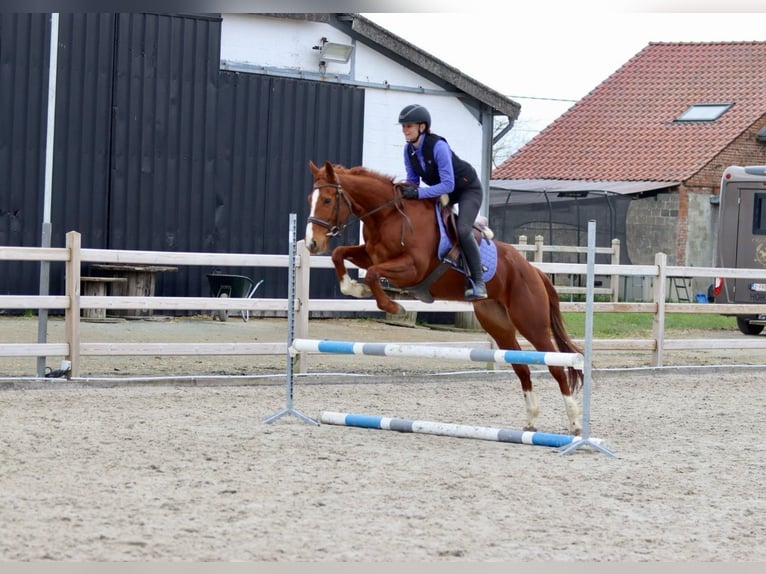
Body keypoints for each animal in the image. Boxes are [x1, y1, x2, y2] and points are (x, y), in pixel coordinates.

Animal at [304, 160, 584, 434]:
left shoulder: (411, 268)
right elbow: (340, 254)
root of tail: (534, 270)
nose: (312, 244)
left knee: (556, 365)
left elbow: (372, 274)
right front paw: (355, 288)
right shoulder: (370, 255)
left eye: (327, 200)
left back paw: (574, 422)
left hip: (531, 322)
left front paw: (393, 306)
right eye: (310, 198)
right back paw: (531, 419)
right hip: (498, 324)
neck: (388, 215)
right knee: (521, 366)